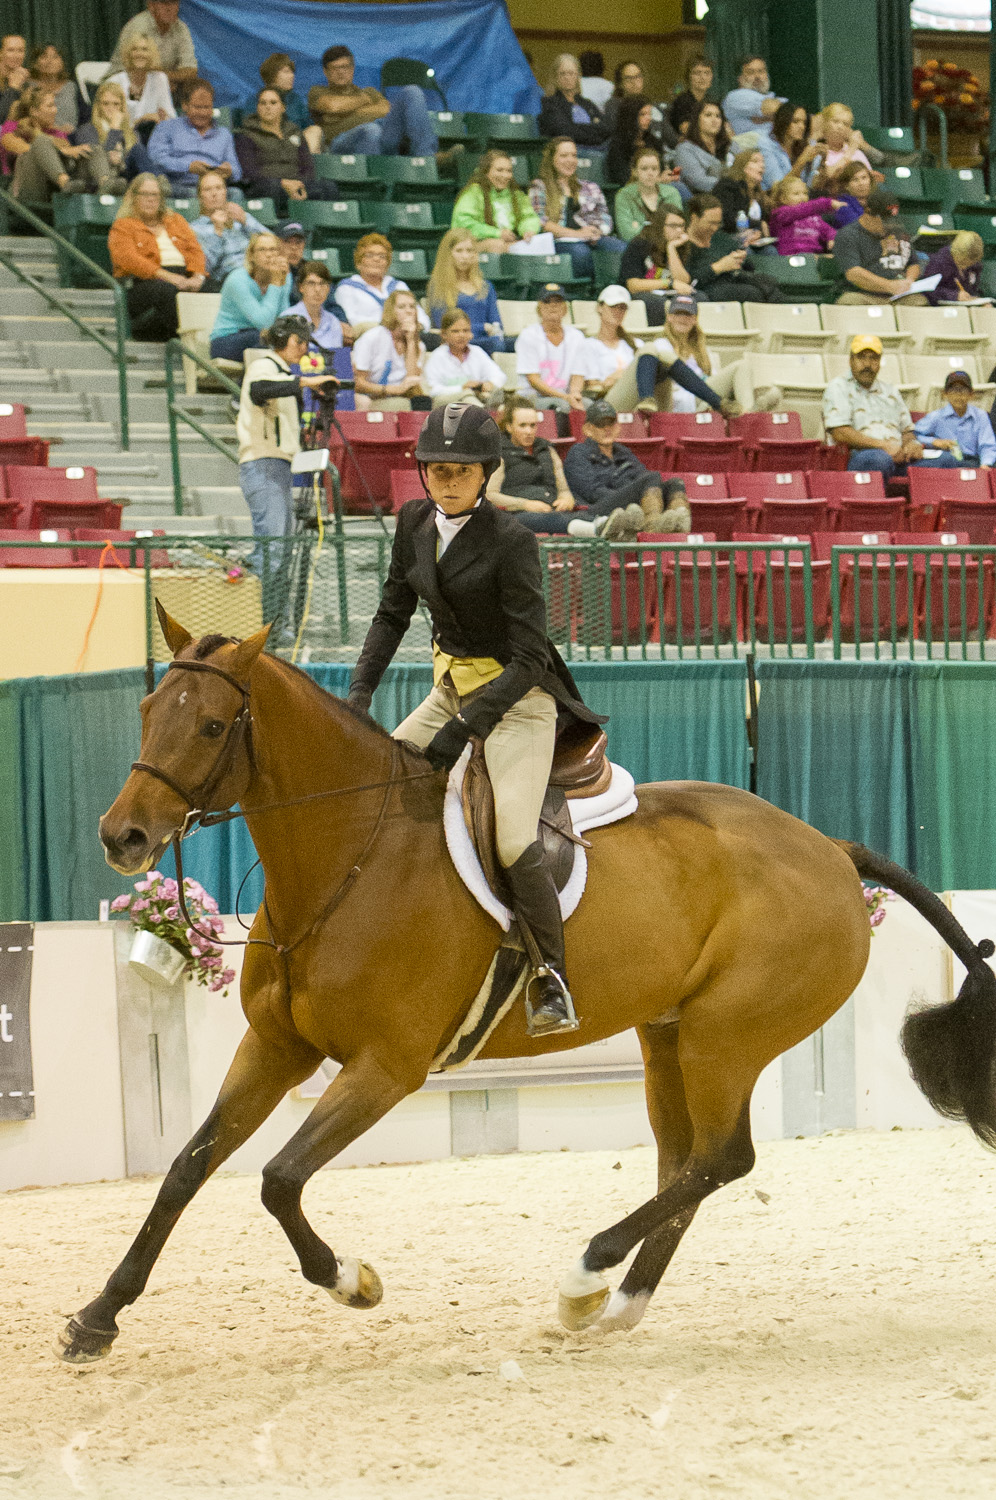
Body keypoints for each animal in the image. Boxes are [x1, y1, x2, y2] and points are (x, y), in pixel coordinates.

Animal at [60, 609, 996, 1362]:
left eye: (214, 725)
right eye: (148, 711)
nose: (121, 836)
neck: (350, 852)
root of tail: (832, 848)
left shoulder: (386, 1067)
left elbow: (278, 1178)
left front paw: (350, 1279)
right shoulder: (278, 1045)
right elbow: (187, 1168)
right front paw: (99, 1316)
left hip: (726, 1036)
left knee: (724, 1158)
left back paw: (585, 1272)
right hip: (668, 1034)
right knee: (686, 1162)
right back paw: (611, 1307)